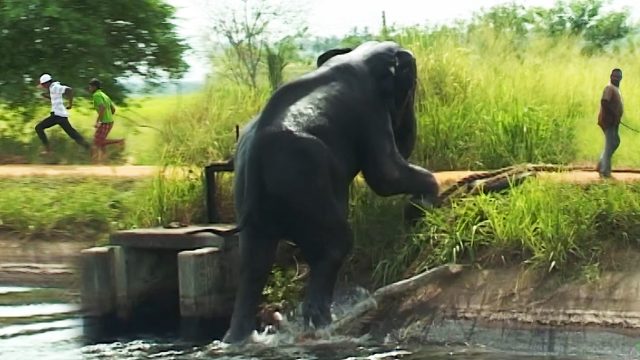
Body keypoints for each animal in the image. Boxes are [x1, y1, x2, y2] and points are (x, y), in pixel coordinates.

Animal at [224, 40, 440, 344]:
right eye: (408, 86)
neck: (358, 55)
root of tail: (255, 156)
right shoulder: (369, 111)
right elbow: (385, 175)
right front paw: (423, 206)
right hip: (306, 182)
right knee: (335, 245)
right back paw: (325, 326)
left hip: (252, 200)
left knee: (254, 266)